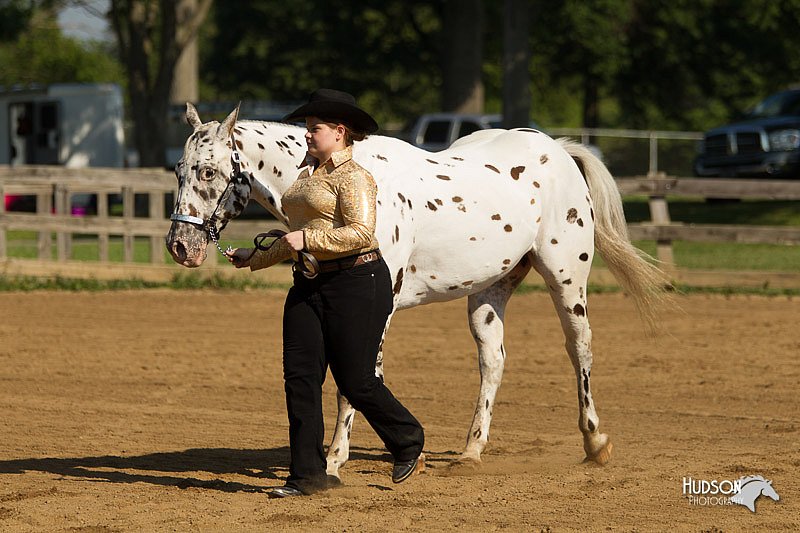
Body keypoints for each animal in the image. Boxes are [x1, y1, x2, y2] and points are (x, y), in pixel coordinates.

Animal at [164, 102, 668, 476]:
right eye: (178, 170)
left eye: (208, 172)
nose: (180, 246)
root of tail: (558, 150)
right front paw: (400, 453)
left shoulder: (375, 307)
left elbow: (354, 380)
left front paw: (334, 461)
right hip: (489, 291)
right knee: (493, 361)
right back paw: (470, 451)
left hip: (566, 279)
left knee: (580, 348)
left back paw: (595, 441)